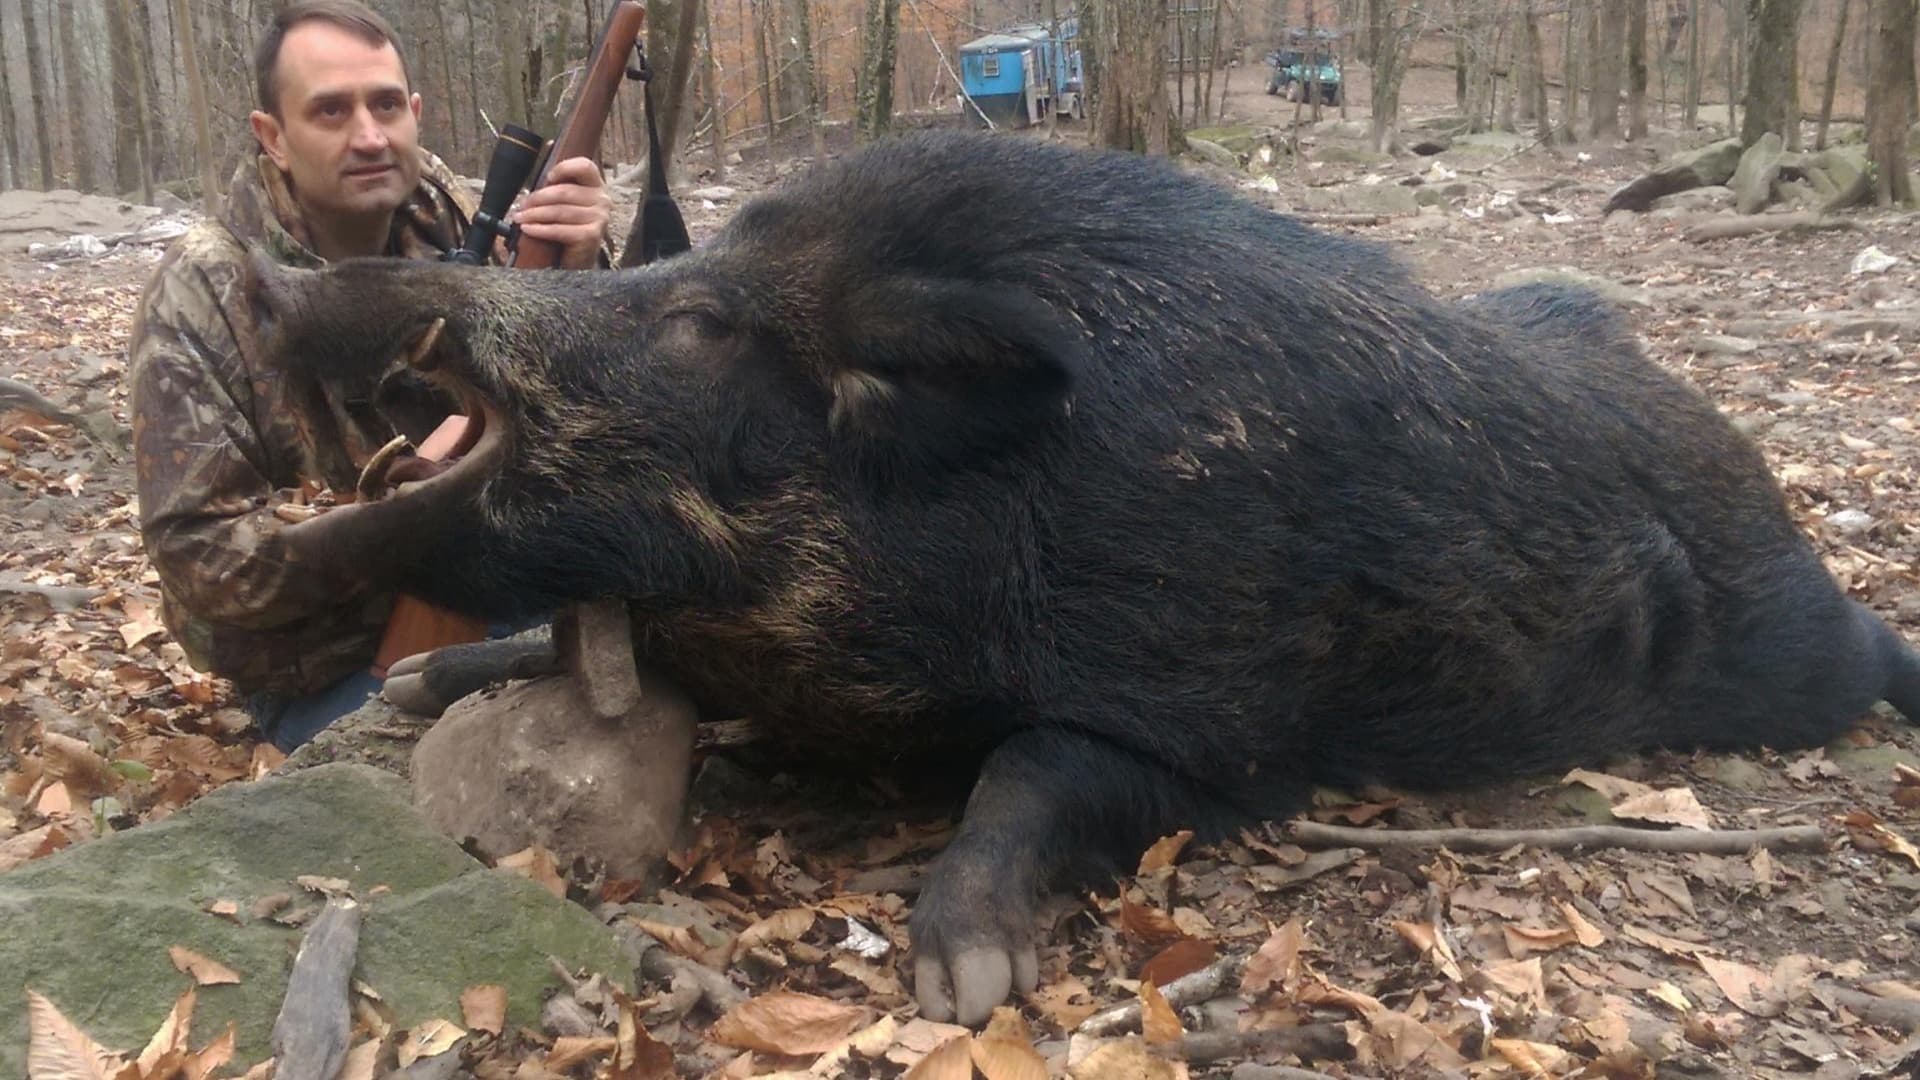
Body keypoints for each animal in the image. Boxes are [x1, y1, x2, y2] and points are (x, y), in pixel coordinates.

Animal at [248, 130, 1920, 1026]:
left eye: (703, 325)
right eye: (676, 278)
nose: (294, 281)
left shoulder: (1211, 725)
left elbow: (1036, 772)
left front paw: (961, 987)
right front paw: (423, 677)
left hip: (1781, 648)